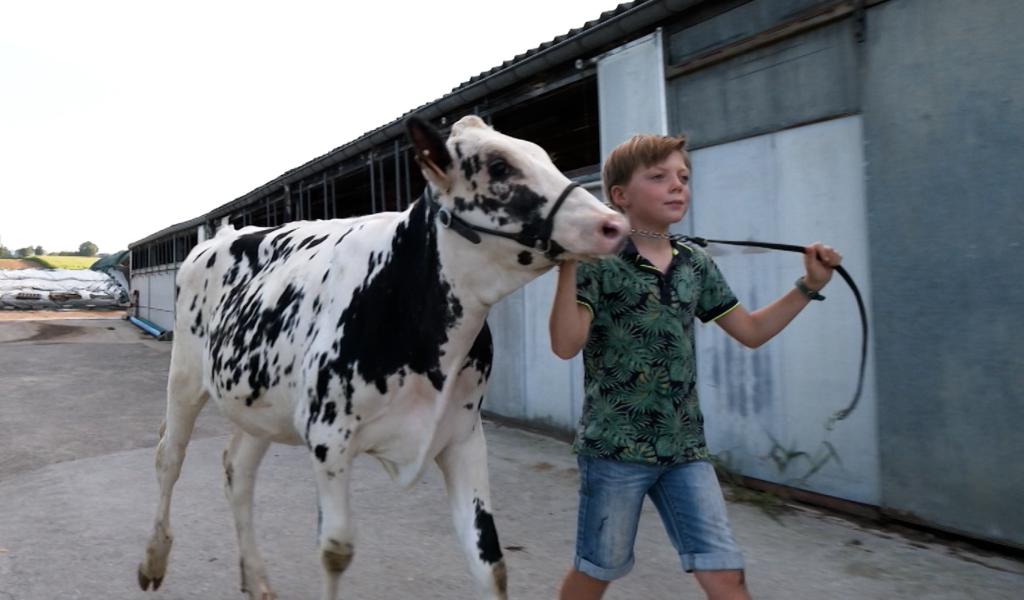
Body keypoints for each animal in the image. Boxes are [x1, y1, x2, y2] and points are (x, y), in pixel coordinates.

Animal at [136, 114, 630, 593]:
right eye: (499, 166)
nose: (613, 226)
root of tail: (225, 232)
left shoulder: (463, 434)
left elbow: (490, 561)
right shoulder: (328, 437)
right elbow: (336, 551)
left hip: (261, 402)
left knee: (237, 470)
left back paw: (257, 582)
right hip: (185, 375)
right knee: (168, 457)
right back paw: (154, 560)